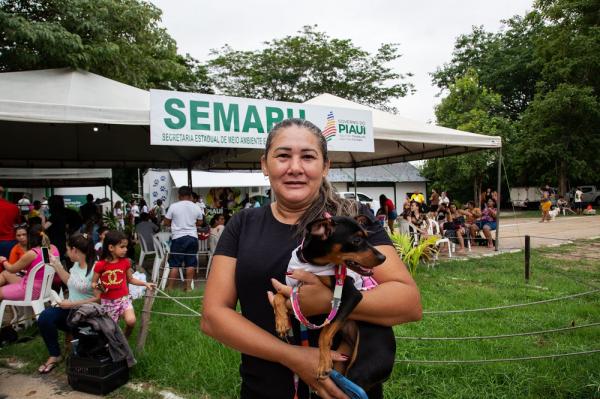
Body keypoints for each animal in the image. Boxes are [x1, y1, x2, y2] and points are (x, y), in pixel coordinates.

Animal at [274, 214, 396, 396]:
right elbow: (278, 296)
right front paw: (281, 322)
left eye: (367, 236)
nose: (383, 258)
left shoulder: (352, 296)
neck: (312, 264)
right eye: (357, 240)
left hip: (360, 370)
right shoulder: (293, 289)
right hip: (344, 363)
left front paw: (323, 362)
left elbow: (325, 332)